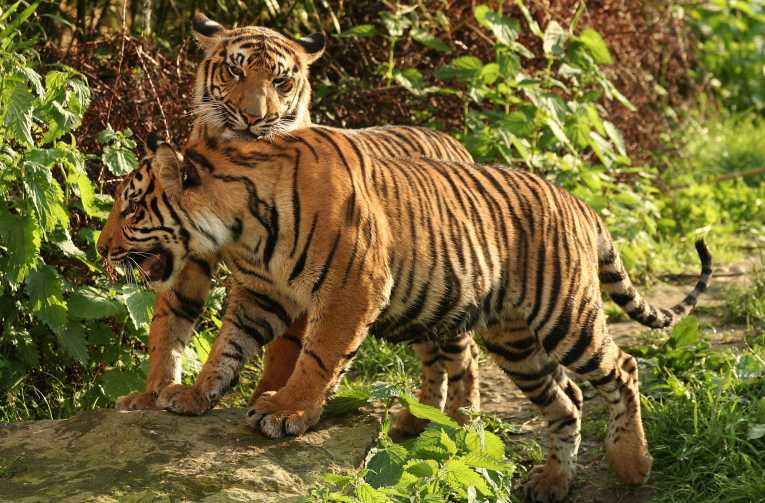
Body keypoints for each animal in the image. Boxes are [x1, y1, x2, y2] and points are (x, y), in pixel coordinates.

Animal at [96, 125, 711, 502]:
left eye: (130, 208)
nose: (100, 248)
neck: (241, 223)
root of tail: (581, 204)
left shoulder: (352, 288)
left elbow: (317, 358)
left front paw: (287, 411)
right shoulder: (261, 294)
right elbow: (226, 349)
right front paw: (194, 395)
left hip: (565, 315)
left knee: (621, 369)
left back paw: (631, 463)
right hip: (514, 339)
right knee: (568, 398)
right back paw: (553, 480)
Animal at [115, 13, 482, 432]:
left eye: (281, 81)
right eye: (235, 71)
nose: (254, 118)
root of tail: (454, 142)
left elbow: (291, 348)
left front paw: (273, 401)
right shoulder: (192, 253)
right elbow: (170, 323)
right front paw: (155, 393)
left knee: (466, 352)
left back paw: (461, 418)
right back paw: (417, 420)